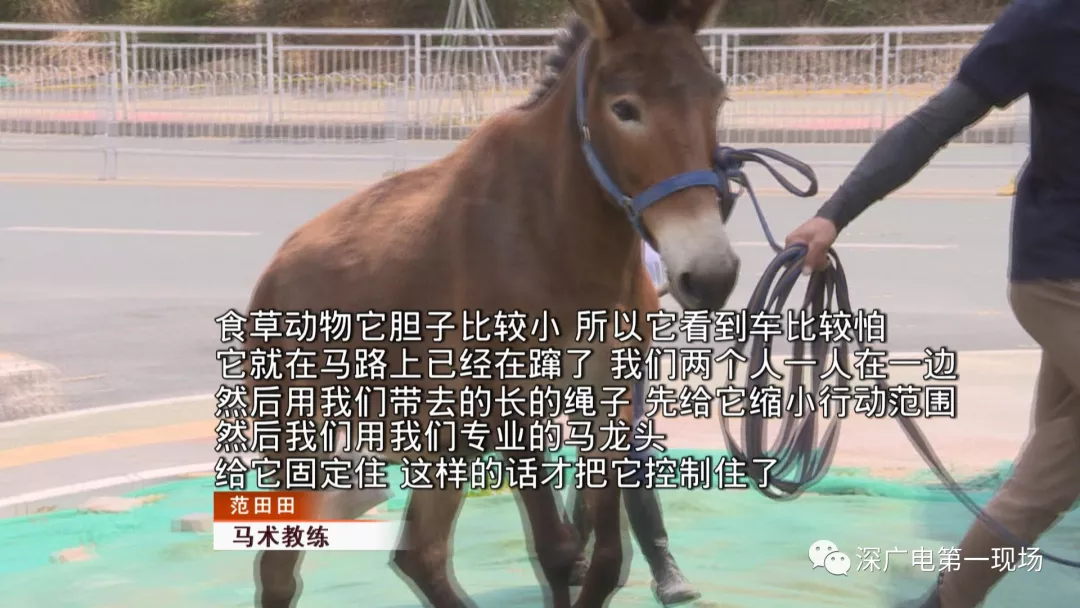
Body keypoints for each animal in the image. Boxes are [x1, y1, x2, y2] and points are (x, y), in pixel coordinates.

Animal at [246, 1, 737, 606]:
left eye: (718, 97)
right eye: (625, 108)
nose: (711, 276)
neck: (559, 238)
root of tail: (274, 269)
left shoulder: (610, 393)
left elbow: (604, 556)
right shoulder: (509, 402)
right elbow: (558, 550)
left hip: (441, 434)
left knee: (420, 552)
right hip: (297, 430)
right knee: (280, 567)